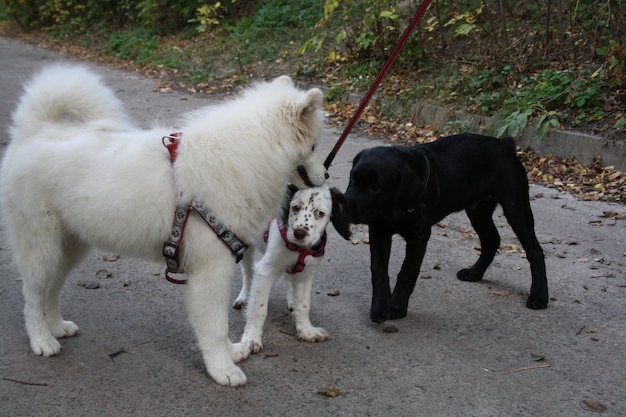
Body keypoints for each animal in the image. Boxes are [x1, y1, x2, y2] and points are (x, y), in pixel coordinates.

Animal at [1, 63, 326, 386]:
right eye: (314, 146)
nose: (325, 175)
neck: (246, 156)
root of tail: (35, 131)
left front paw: (231, 354)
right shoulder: (211, 270)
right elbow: (215, 326)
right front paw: (223, 369)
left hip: (69, 248)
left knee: (52, 290)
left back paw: (56, 327)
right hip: (40, 248)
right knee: (32, 296)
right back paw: (42, 340)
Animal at [234, 185, 352, 352]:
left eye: (320, 213)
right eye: (295, 207)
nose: (299, 233)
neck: (299, 249)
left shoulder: (306, 273)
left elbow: (304, 304)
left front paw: (307, 331)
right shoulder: (265, 270)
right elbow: (259, 308)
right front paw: (251, 339)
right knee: (247, 272)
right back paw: (244, 297)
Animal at [342, 133, 544, 322]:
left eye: (375, 187)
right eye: (352, 178)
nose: (343, 208)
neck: (393, 208)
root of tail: (505, 143)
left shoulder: (419, 236)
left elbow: (407, 272)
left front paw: (398, 306)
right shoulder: (379, 230)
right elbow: (379, 271)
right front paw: (379, 307)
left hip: (515, 207)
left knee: (535, 250)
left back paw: (539, 296)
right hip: (477, 211)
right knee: (491, 240)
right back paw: (474, 274)